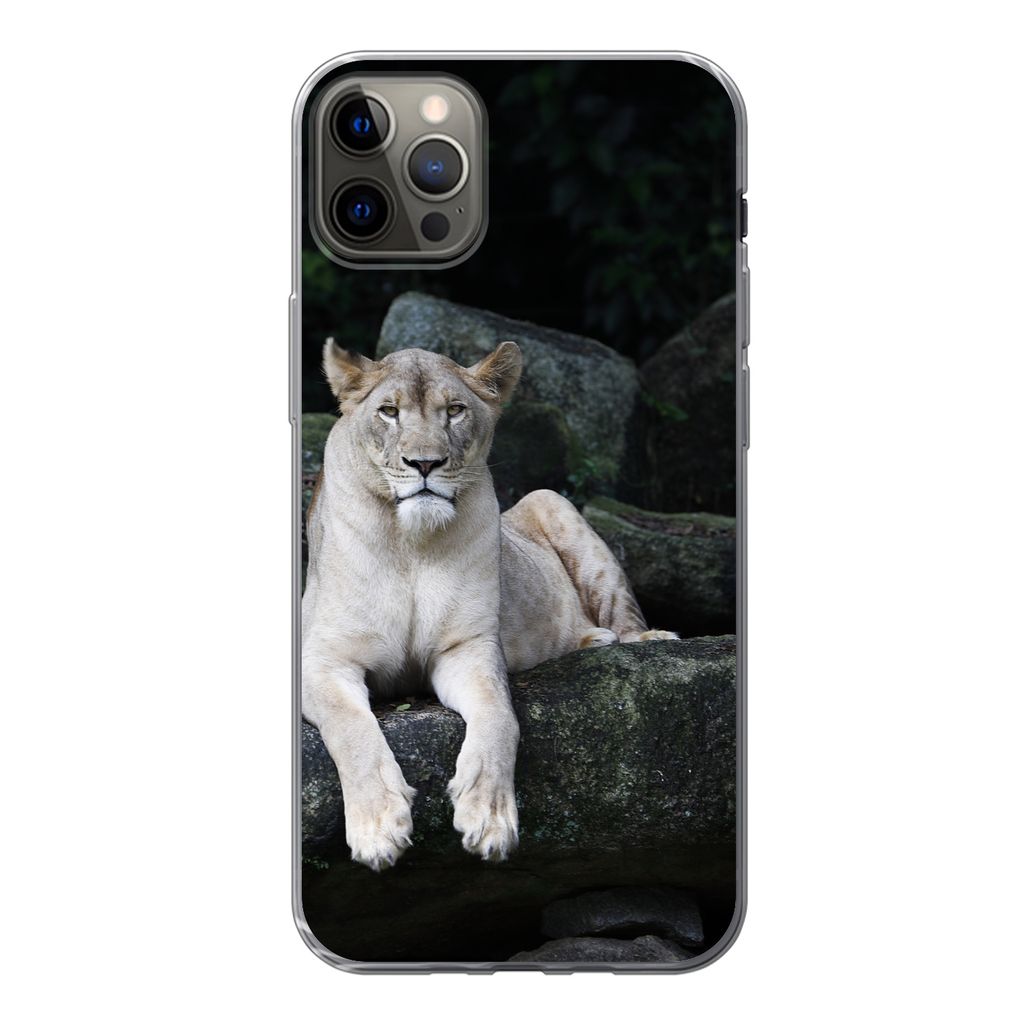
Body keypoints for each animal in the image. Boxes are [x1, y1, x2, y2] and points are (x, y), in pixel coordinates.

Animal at [301, 338, 677, 871]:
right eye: (389, 412)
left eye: (455, 411)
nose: (425, 464)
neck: (410, 543)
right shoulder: (323, 660)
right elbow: (351, 728)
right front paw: (378, 829)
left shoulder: (468, 649)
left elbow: (501, 718)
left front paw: (489, 818)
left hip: (551, 501)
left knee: (622, 614)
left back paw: (638, 637)